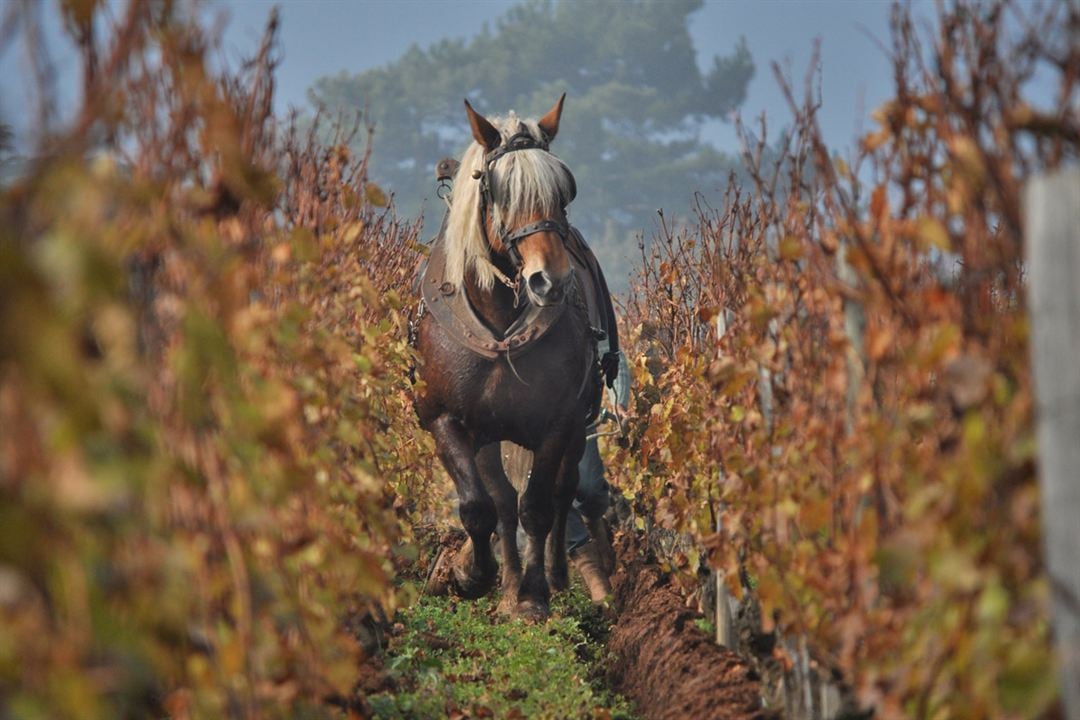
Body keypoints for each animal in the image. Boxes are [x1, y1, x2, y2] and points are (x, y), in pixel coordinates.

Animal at [414, 95, 617, 621]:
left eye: (563, 190)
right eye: (499, 189)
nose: (550, 280)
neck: (500, 321)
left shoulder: (558, 421)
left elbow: (539, 506)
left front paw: (534, 595)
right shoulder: (446, 419)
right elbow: (479, 506)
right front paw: (471, 574)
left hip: (578, 425)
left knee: (563, 492)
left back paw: (556, 576)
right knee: (502, 501)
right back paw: (503, 583)